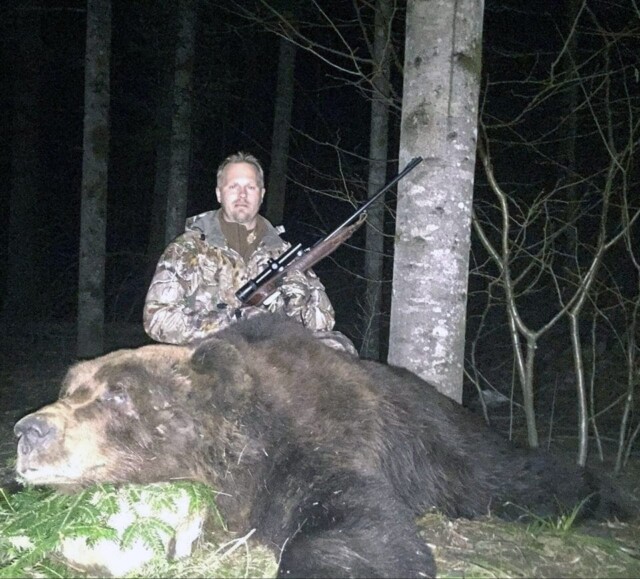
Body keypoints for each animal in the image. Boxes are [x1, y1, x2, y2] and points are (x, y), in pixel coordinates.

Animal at [14, 315, 626, 578]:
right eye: (71, 390)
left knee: (511, 476)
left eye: (119, 394)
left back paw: (599, 493)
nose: (27, 431)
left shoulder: (313, 447)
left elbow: (358, 526)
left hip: (448, 447)